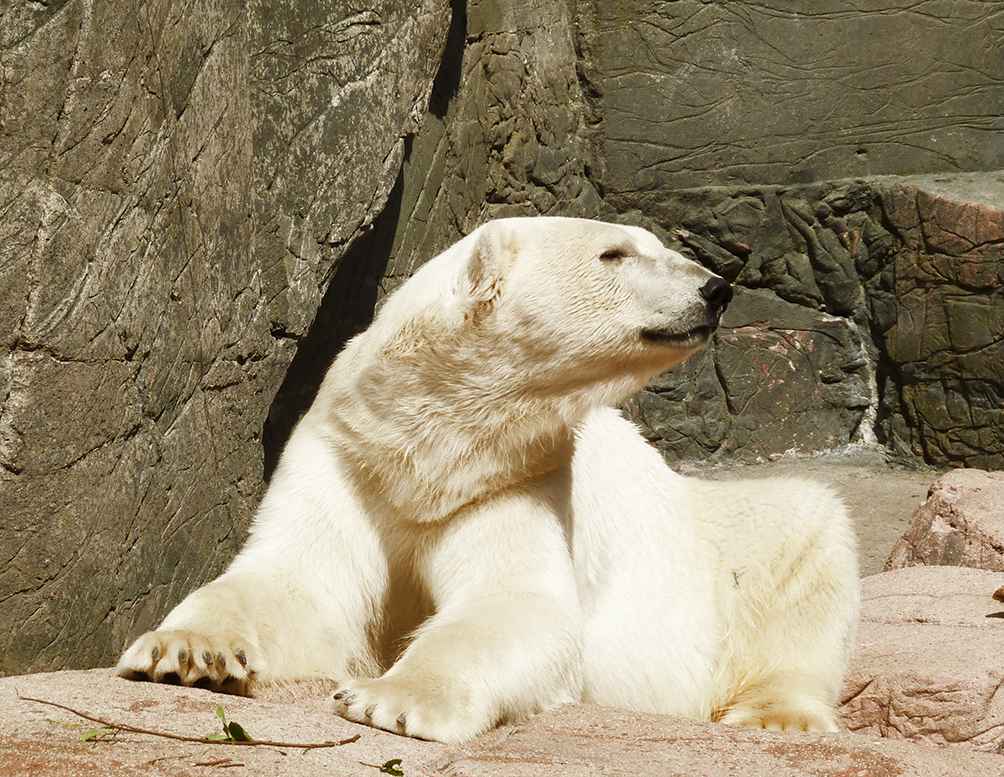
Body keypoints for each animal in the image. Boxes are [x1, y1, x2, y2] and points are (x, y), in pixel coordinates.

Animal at [115, 215, 855, 746]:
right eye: (615, 254)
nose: (716, 287)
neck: (427, 446)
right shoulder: (344, 457)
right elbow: (293, 580)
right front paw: (187, 653)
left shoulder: (514, 478)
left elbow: (517, 604)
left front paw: (390, 700)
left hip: (714, 545)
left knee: (804, 530)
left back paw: (774, 715)